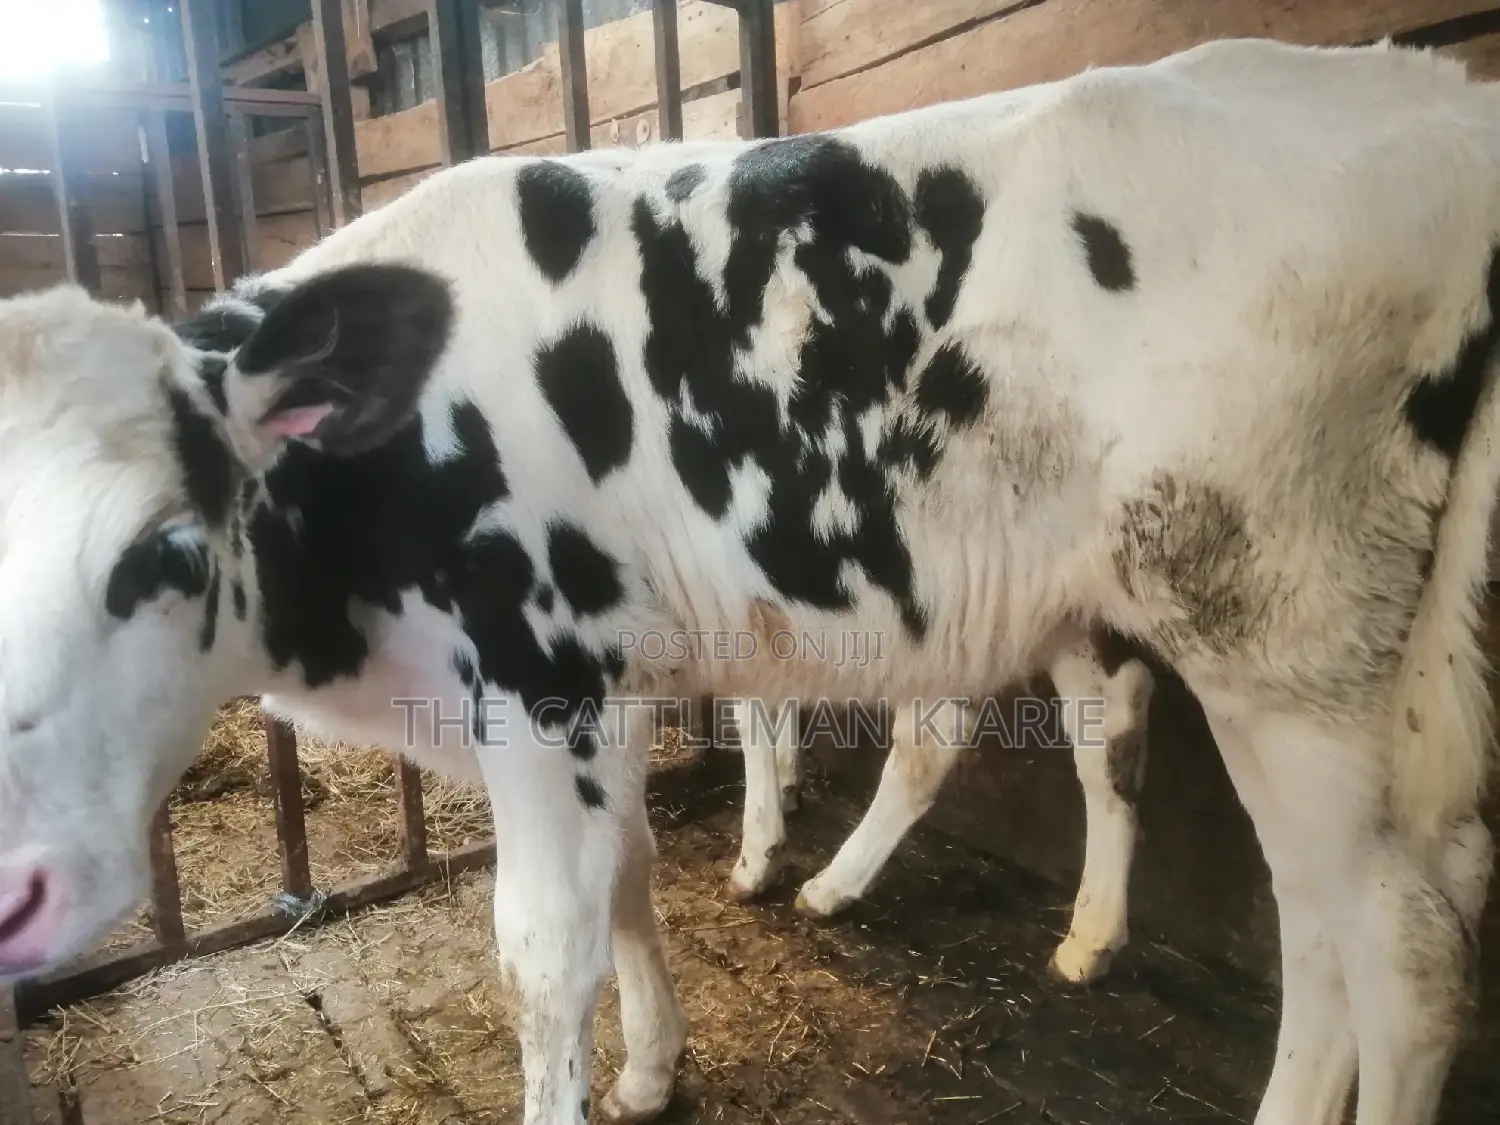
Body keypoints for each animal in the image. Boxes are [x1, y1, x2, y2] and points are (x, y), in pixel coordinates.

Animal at [0, 33, 1497, 1125]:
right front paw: (654, 1068)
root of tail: (1437, 98)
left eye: (168, 548)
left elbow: (543, 951)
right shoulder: (601, 699)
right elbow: (632, 872)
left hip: (1289, 642)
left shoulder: (538, 684)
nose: (21, 890)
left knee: (1395, 950)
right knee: (1299, 872)